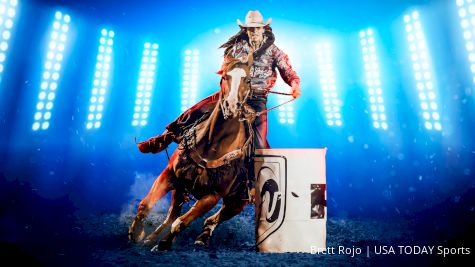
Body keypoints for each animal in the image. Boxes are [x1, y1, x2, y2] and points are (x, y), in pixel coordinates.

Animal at [127, 55, 256, 251]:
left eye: (248, 80)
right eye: (224, 77)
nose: (231, 105)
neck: (212, 145)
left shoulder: (212, 196)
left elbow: (181, 222)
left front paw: (163, 245)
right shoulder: (171, 175)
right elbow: (146, 205)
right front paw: (136, 233)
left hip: (236, 203)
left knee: (210, 219)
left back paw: (201, 238)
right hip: (181, 188)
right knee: (172, 214)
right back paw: (151, 238)